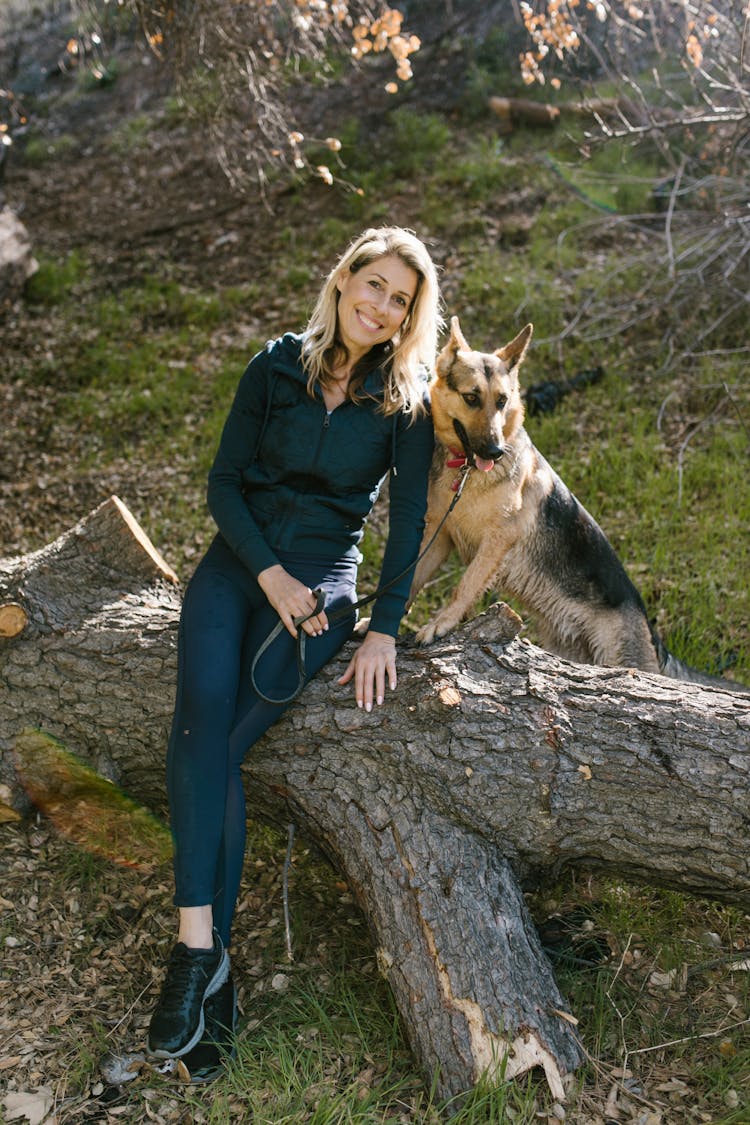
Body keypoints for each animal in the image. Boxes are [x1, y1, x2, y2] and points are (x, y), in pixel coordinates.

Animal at [413, 315, 742, 684]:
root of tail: (651, 631)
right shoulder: (440, 537)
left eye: (501, 401)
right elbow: (413, 578)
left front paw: (440, 623)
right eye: (471, 398)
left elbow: (465, 585)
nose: (497, 451)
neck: (467, 473)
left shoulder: (498, 540)